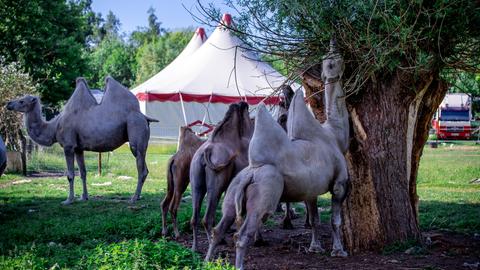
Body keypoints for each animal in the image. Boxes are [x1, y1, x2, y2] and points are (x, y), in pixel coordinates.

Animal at [6, 77, 158, 204]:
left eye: (22, 100)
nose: (8, 104)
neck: (54, 127)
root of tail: (144, 117)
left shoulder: (68, 146)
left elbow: (70, 174)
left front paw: (68, 200)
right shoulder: (78, 148)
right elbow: (83, 173)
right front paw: (83, 197)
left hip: (135, 129)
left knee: (141, 167)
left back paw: (133, 198)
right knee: (144, 167)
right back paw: (138, 196)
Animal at [189, 101, 255, 251]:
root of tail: (205, 152)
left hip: (196, 182)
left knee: (195, 217)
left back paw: (195, 247)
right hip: (216, 184)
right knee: (207, 218)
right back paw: (213, 244)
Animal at [206, 43, 348, 268]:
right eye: (333, 60)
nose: (336, 46)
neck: (336, 136)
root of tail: (251, 173)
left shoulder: (311, 189)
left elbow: (315, 220)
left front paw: (315, 248)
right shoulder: (340, 182)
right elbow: (335, 221)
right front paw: (339, 251)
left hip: (233, 191)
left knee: (219, 229)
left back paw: (206, 261)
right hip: (266, 191)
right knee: (243, 234)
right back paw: (239, 265)